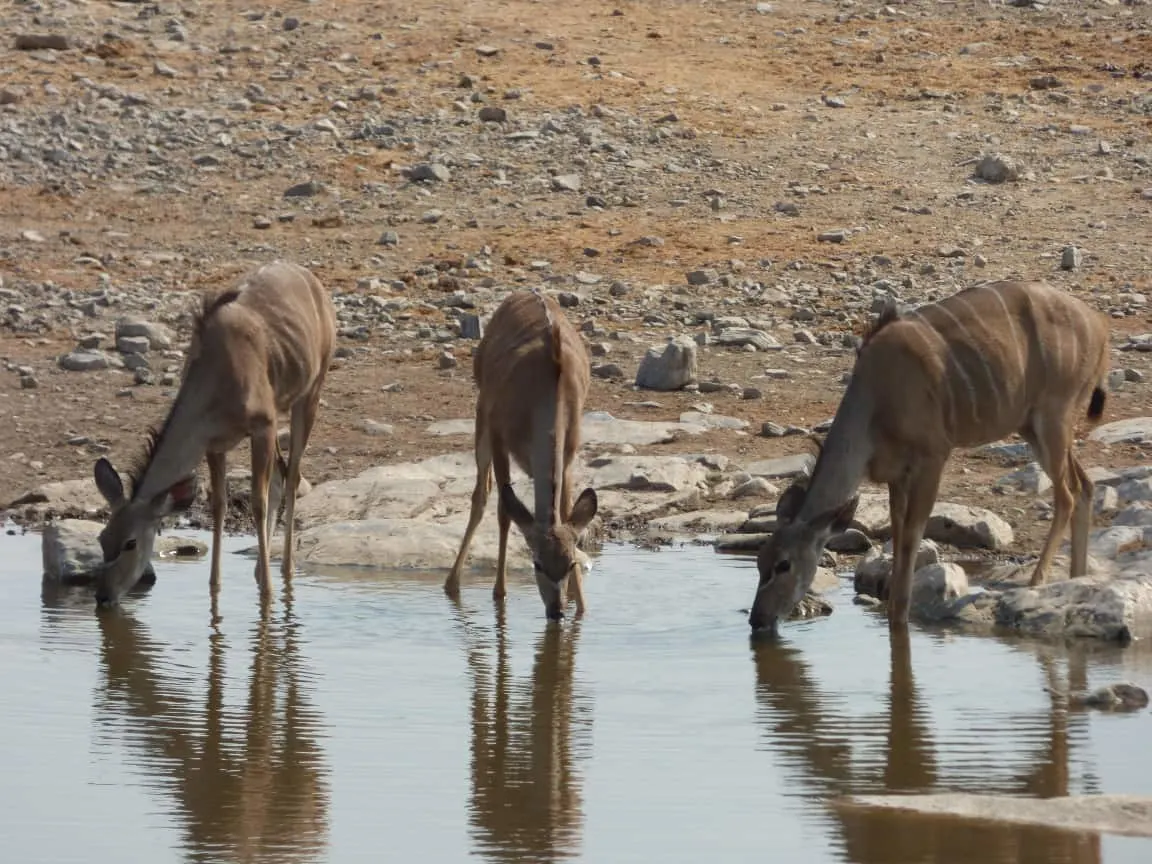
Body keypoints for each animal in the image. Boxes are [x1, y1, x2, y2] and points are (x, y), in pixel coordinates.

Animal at [91, 260, 336, 612]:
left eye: (130, 542)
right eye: (102, 538)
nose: (103, 596)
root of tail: (313, 281)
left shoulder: (262, 424)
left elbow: (258, 502)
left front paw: (268, 593)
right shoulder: (214, 445)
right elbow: (219, 505)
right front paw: (215, 586)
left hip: (310, 392)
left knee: (291, 476)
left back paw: (284, 570)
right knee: (281, 473)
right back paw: (260, 570)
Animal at [442, 291, 599, 622]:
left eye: (570, 563)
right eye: (536, 563)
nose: (556, 612)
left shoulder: (568, 456)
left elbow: (565, 509)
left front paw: (580, 605)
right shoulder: (500, 436)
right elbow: (504, 510)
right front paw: (498, 593)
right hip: (481, 417)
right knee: (482, 494)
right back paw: (451, 583)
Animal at [751, 281, 1110, 640]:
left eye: (783, 565)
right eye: (759, 560)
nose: (758, 620)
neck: (877, 397)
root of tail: (1098, 326)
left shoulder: (934, 457)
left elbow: (912, 538)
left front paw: (899, 619)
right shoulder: (896, 476)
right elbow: (898, 536)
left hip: (1053, 418)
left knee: (1066, 494)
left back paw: (1037, 582)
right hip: (1031, 427)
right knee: (1085, 486)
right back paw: (1077, 579)